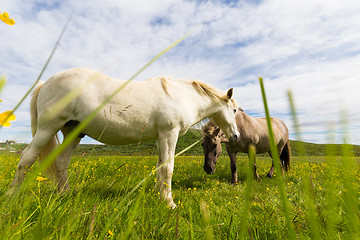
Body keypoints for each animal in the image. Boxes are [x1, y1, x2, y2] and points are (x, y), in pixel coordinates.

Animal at [9, 67, 239, 208]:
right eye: (235, 110)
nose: (236, 136)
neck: (180, 95)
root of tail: (45, 83)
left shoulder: (160, 138)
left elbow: (159, 166)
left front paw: (158, 195)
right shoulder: (169, 134)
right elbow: (168, 167)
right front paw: (169, 202)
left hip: (72, 133)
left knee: (61, 163)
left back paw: (64, 194)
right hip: (48, 128)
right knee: (27, 158)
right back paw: (12, 195)